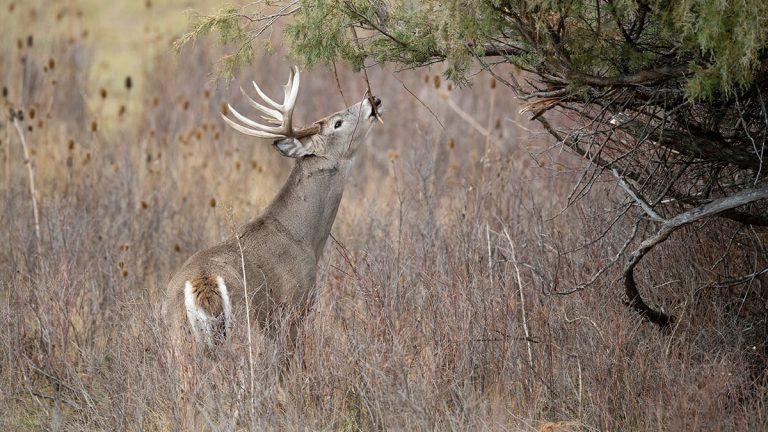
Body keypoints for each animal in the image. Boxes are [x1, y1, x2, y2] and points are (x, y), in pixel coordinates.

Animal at [164, 66, 380, 358]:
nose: (373, 100)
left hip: (178, 337)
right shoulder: (294, 307)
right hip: (244, 326)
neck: (302, 237)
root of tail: (202, 281)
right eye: (337, 123)